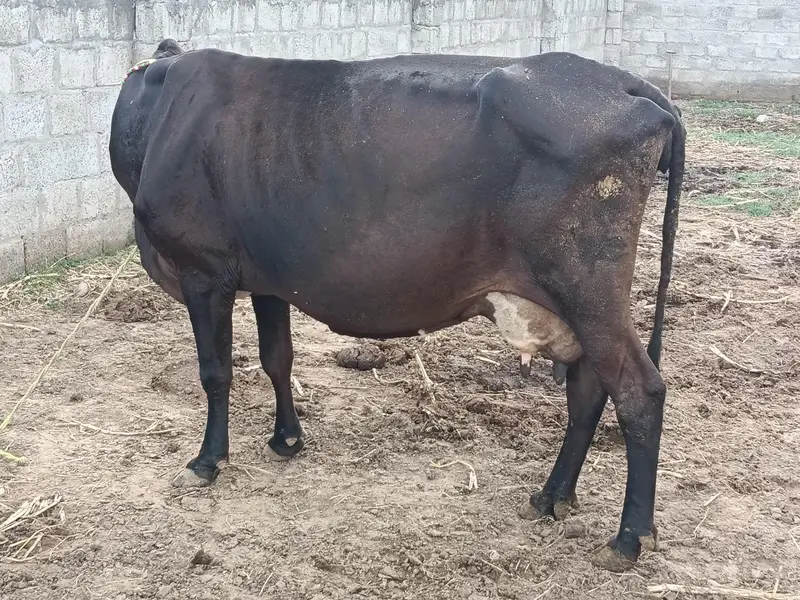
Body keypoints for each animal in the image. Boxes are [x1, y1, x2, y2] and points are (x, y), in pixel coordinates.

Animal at [110, 39, 685, 572]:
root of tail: (628, 84)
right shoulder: (268, 279)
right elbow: (278, 359)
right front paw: (287, 439)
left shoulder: (202, 272)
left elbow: (215, 371)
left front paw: (207, 461)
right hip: (577, 305)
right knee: (587, 390)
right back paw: (551, 498)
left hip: (589, 291)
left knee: (639, 392)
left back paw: (629, 538)